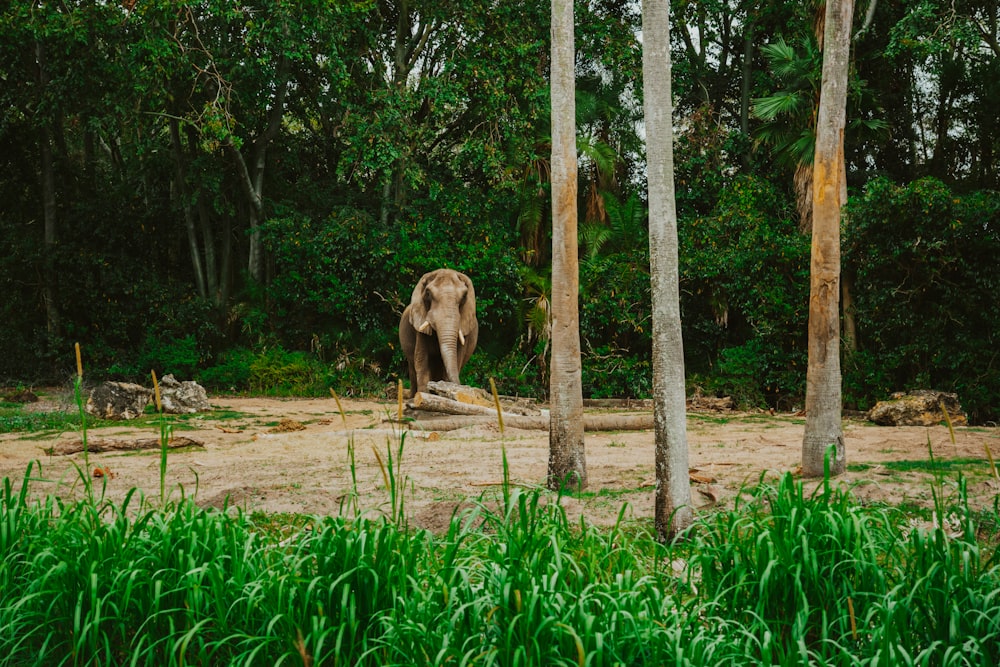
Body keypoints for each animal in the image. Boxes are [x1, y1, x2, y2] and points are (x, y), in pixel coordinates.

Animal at [396, 268, 478, 400]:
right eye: (428, 293)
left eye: (464, 296)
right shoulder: (420, 326)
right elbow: (421, 360)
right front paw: (424, 395)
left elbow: (457, 359)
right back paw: (413, 396)